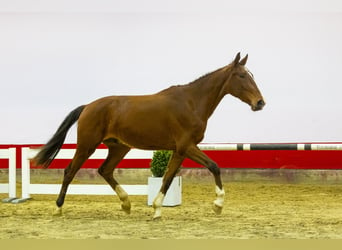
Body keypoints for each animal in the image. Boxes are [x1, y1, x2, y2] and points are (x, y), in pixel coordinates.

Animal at [32, 52, 266, 219]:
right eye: (242, 75)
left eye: (252, 75)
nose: (260, 103)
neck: (191, 102)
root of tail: (88, 106)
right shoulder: (185, 147)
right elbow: (209, 167)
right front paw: (217, 205)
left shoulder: (182, 149)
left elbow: (172, 177)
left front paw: (158, 208)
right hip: (87, 145)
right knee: (70, 171)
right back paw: (58, 209)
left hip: (119, 147)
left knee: (104, 170)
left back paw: (126, 204)